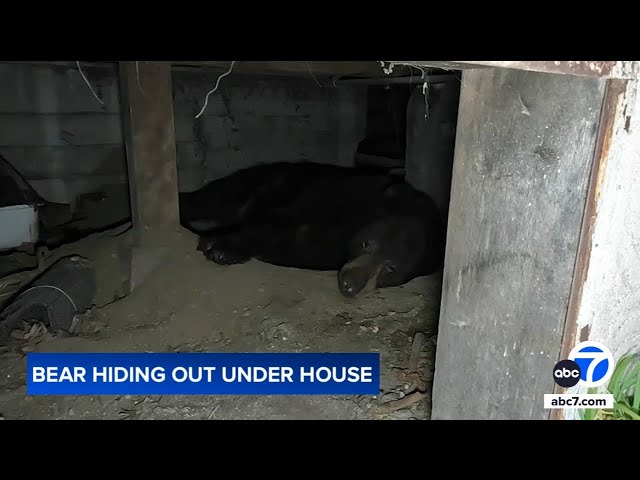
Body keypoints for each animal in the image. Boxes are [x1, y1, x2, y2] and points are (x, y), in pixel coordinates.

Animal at [180, 162, 448, 296]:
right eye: (367, 243)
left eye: (391, 268)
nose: (350, 285)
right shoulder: (337, 196)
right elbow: (275, 220)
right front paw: (220, 244)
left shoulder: (329, 249)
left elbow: (298, 246)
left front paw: (221, 245)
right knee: (216, 196)